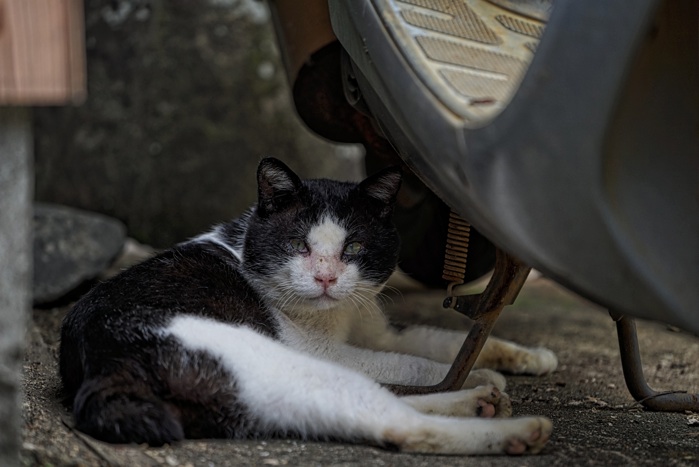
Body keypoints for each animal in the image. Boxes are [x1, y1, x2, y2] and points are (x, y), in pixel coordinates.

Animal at [60, 158, 556, 458]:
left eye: (353, 247)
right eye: (298, 245)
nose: (325, 278)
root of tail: (105, 365)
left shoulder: (376, 326)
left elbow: (439, 340)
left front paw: (527, 357)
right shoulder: (325, 351)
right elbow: (408, 362)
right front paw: (482, 372)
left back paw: (480, 402)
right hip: (279, 363)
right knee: (397, 423)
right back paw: (507, 422)